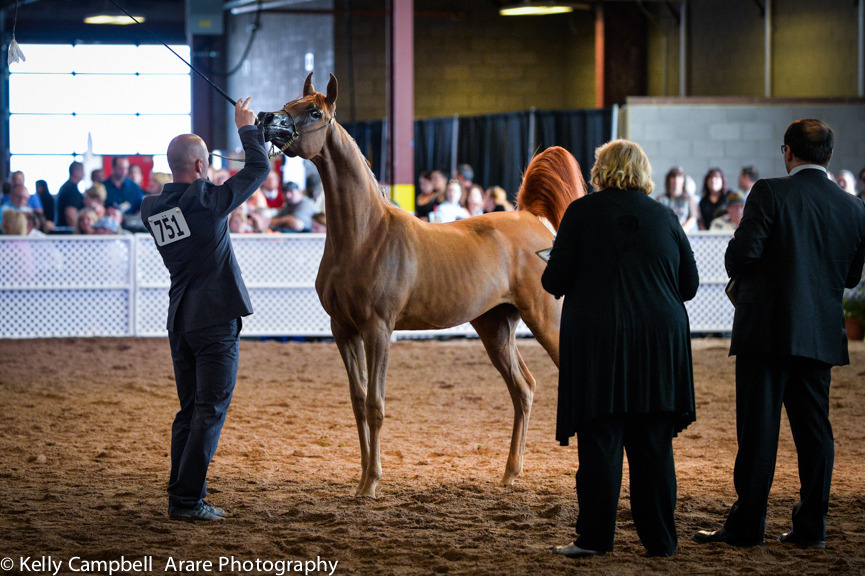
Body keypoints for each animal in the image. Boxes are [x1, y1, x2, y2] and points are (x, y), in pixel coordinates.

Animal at [258, 73, 586, 497]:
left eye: (314, 111)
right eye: (288, 103)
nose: (266, 118)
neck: (366, 234)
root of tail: (531, 217)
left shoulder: (378, 329)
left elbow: (375, 405)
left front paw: (372, 482)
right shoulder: (343, 329)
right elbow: (357, 401)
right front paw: (362, 479)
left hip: (546, 319)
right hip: (496, 327)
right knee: (523, 389)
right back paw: (510, 474)